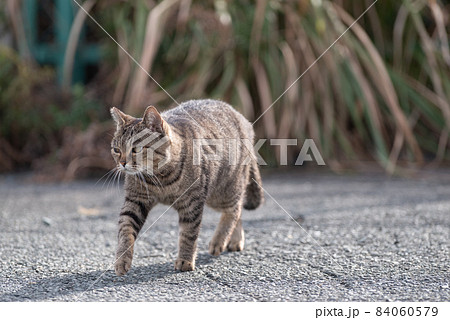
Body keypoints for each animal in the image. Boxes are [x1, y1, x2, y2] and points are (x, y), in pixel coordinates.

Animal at [110, 100, 264, 276]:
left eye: (136, 149)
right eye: (116, 150)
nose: (122, 163)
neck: (161, 178)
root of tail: (243, 119)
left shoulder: (192, 203)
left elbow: (188, 234)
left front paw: (185, 260)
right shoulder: (135, 201)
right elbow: (125, 230)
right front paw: (122, 260)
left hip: (223, 192)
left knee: (235, 209)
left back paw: (220, 240)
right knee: (238, 210)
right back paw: (234, 240)